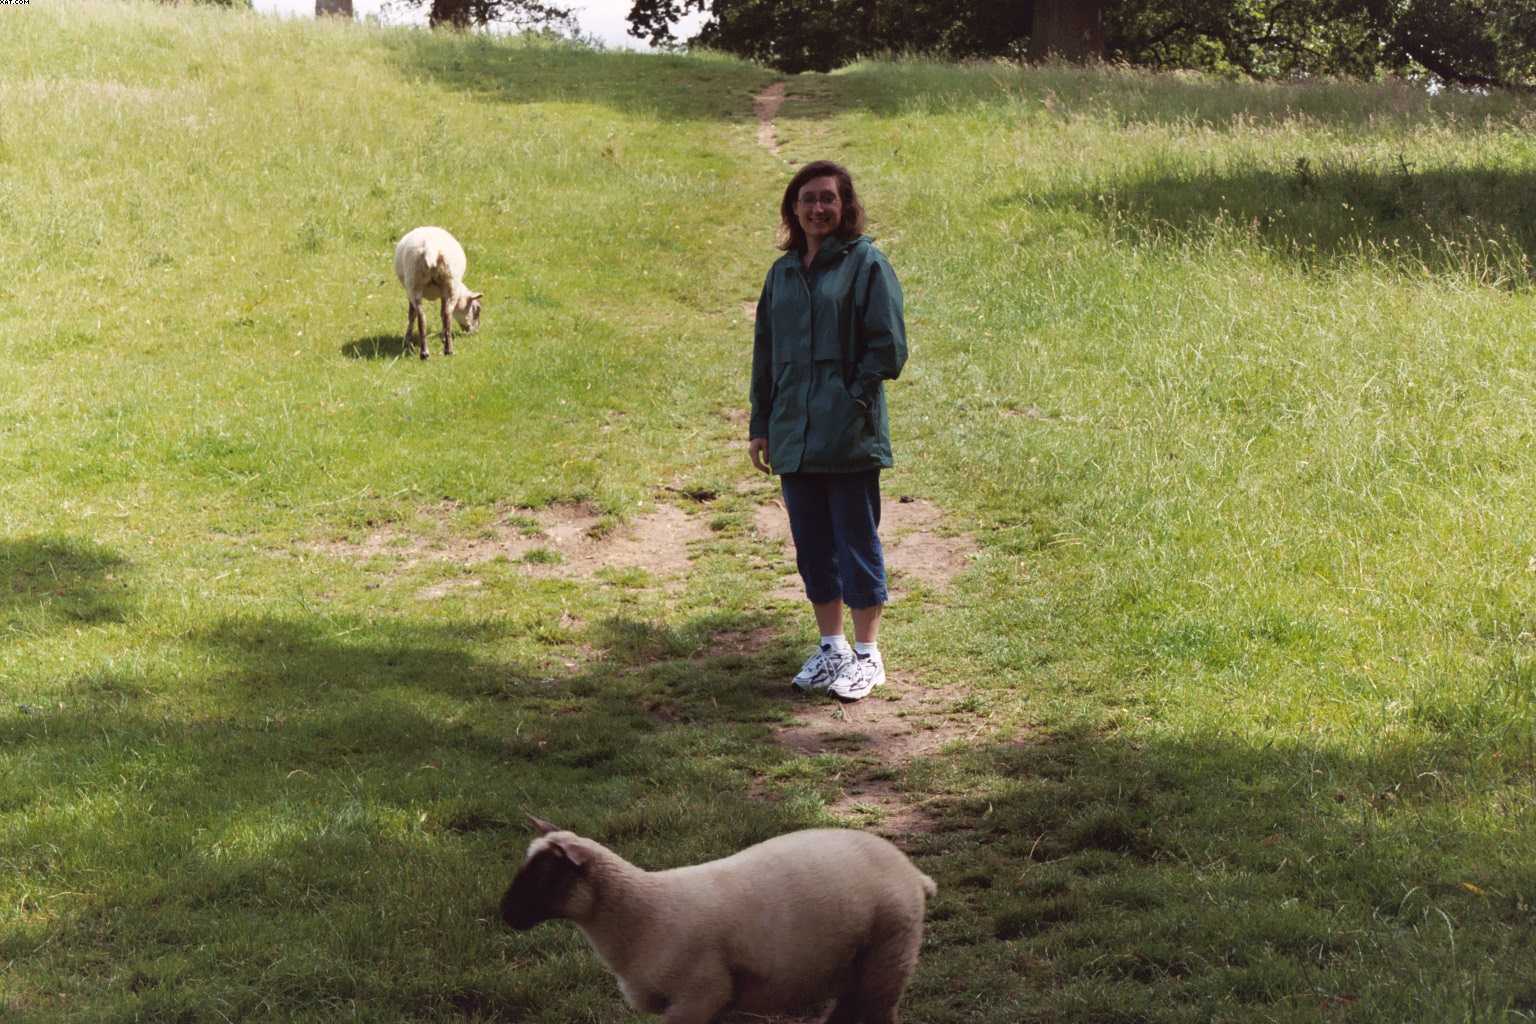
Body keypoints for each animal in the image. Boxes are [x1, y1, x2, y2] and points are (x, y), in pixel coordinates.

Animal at [390, 227, 479, 360]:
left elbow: (415, 315)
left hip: (417, 284)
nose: (475, 332)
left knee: (424, 317)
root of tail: (430, 249)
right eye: (476, 309)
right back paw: (445, 350)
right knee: (444, 315)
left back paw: (428, 352)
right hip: (446, 283)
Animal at [503, 816, 933, 1024]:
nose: (505, 913)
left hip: (890, 956)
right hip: (854, 966)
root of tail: (911, 871)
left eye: (547, 875)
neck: (642, 914)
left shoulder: (700, 995)